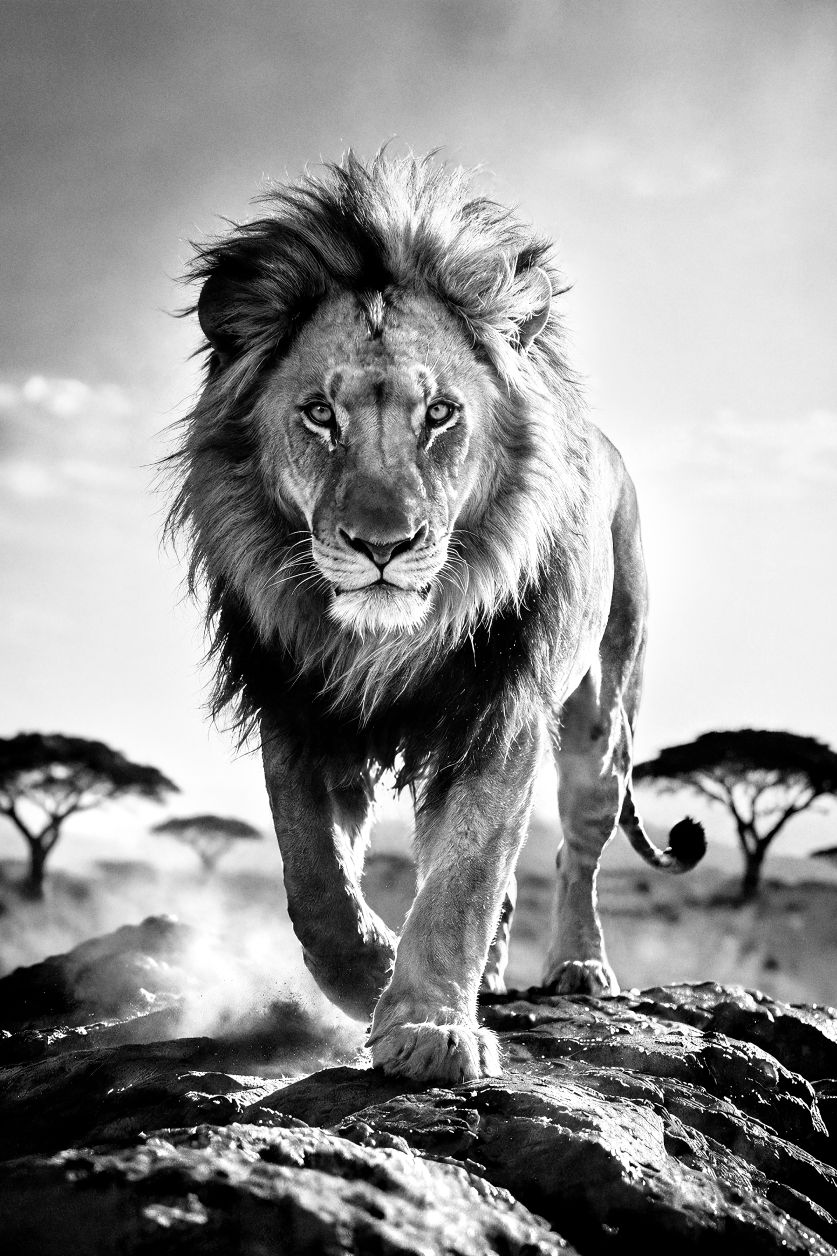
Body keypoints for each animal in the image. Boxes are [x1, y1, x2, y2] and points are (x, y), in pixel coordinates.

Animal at [169, 151, 705, 1084]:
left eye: (440, 414)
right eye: (320, 414)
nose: (383, 545)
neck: (384, 642)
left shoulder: (501, 713)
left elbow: (463, 879)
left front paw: (426, 1027)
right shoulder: (299, 709)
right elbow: (314, 884)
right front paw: (371, 974)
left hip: (603, 714)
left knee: (575, 847)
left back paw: (576, 965)